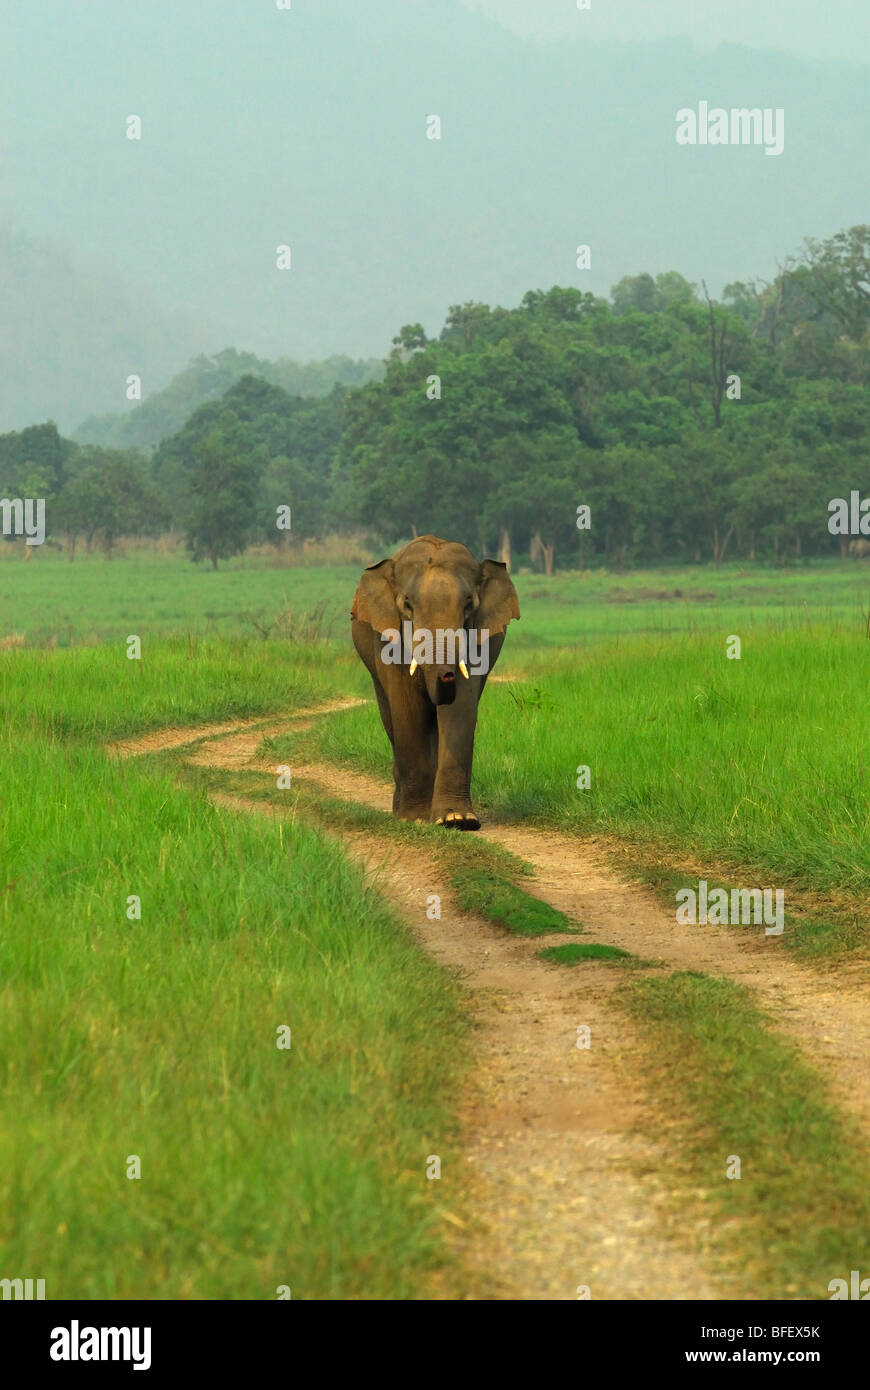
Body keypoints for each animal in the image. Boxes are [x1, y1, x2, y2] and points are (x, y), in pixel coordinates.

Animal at [350, 536, 516, 828]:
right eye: (407, 605)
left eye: (469, 604)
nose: (445, 675)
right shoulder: (387, 636)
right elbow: (407, 707)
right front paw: (414, 818)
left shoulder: (478, 637)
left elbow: (461, 706)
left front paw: (457, 820)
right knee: (390, 716)